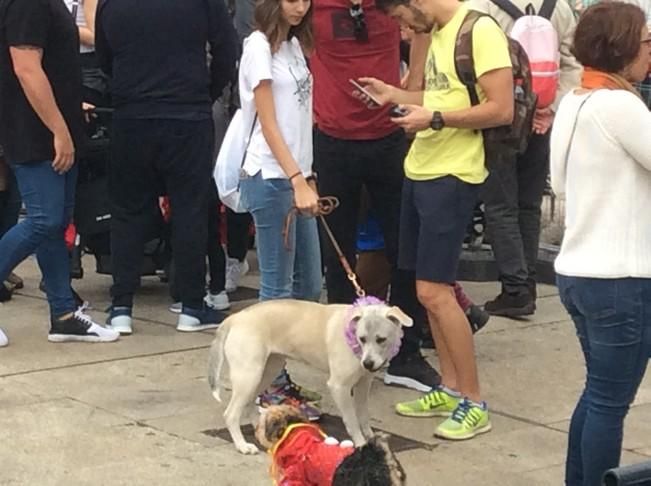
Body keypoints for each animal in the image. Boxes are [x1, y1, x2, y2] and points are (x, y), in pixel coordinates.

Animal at [209, 296, 412, 456]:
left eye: (381, 339)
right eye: (361, 339)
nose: (368, 364)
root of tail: (236, 317)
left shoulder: (364, 384)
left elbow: (363, 414)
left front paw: (369, 436)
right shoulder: (339, 386)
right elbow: (352, 419)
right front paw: (361, 443)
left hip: (266, 371)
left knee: (250, 402)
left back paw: (260, 430)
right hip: (249, 375)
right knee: (231, 414)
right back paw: (242, 445)